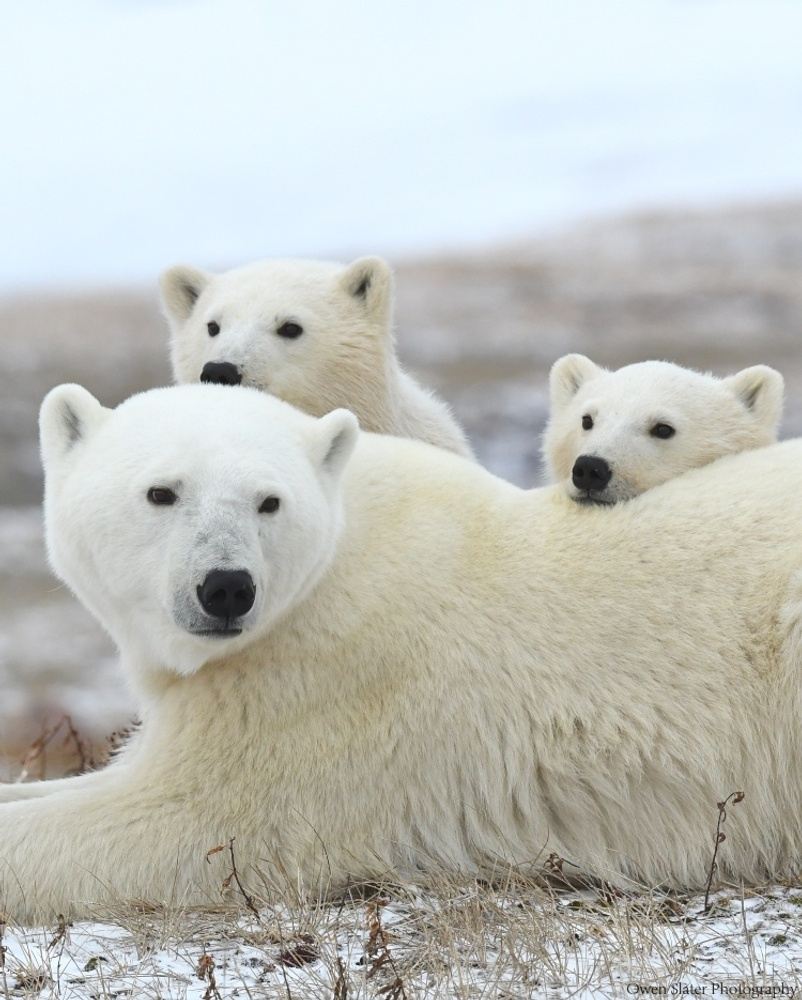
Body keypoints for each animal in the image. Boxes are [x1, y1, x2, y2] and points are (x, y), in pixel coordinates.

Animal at [3, 381, 802, 922]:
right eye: (161, 492)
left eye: (269, 501)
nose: (226, 588)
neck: (333, 566)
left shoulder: (316, 693)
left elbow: (188, 826)